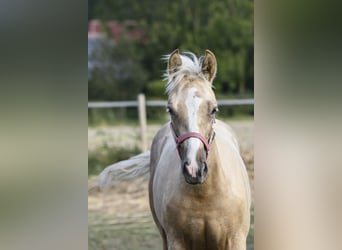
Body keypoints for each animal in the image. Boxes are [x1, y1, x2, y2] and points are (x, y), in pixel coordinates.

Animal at [97, 49, 250, 250]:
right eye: (170, 110)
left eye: (214, 109)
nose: (194, 169)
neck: (204, 195)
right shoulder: (176, 241)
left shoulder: (235, 240)